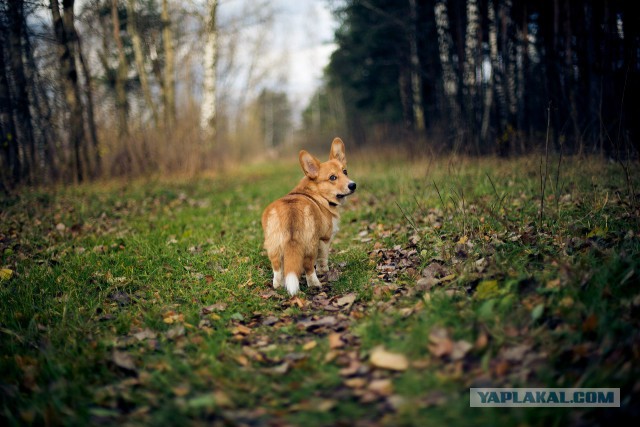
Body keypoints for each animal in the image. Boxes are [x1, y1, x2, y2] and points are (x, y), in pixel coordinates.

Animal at [262, 139, 358, 296]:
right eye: (332, 177)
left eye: (345, 171)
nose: (353, 185)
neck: (317, 192)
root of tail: (291, 213)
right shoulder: (325, 239)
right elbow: (322, 259)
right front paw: (324, 271)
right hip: (310, 245)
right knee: (308, 266)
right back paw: (315, 284)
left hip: (273, 245)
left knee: (277, 267)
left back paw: (279, 284)